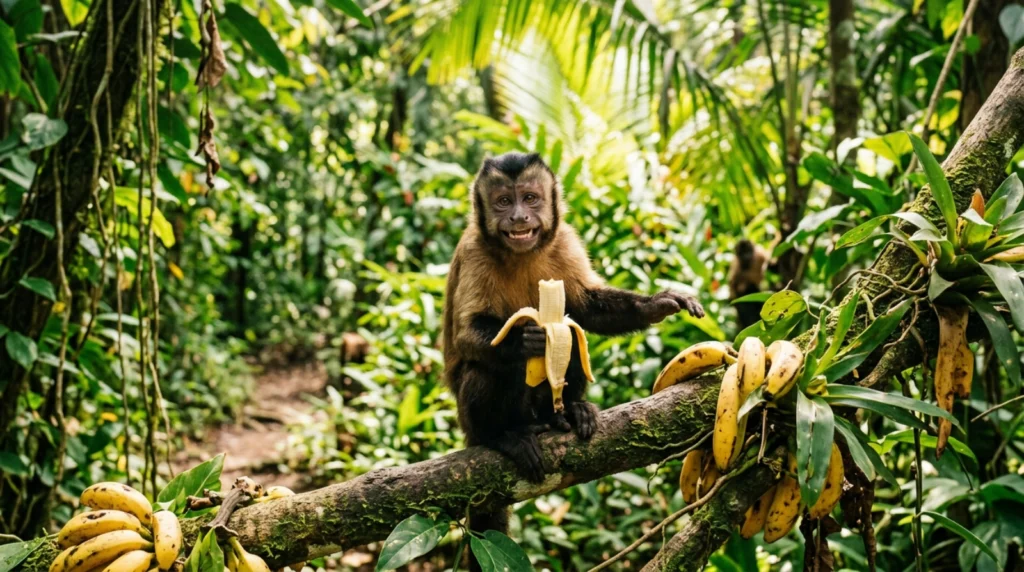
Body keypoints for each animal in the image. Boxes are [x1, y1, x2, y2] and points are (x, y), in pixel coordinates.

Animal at [441, 152, 704, 567]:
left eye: (530, 198)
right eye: (503, 201)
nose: (519, 217)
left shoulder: (565, 241)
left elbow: (585, 310)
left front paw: (658, 304)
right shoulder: (473, 251)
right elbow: (467, 334)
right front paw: (526, 338)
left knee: (573, 334)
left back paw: (568, 412)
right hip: (474, 421)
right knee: (489, 369)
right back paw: (501, 436)